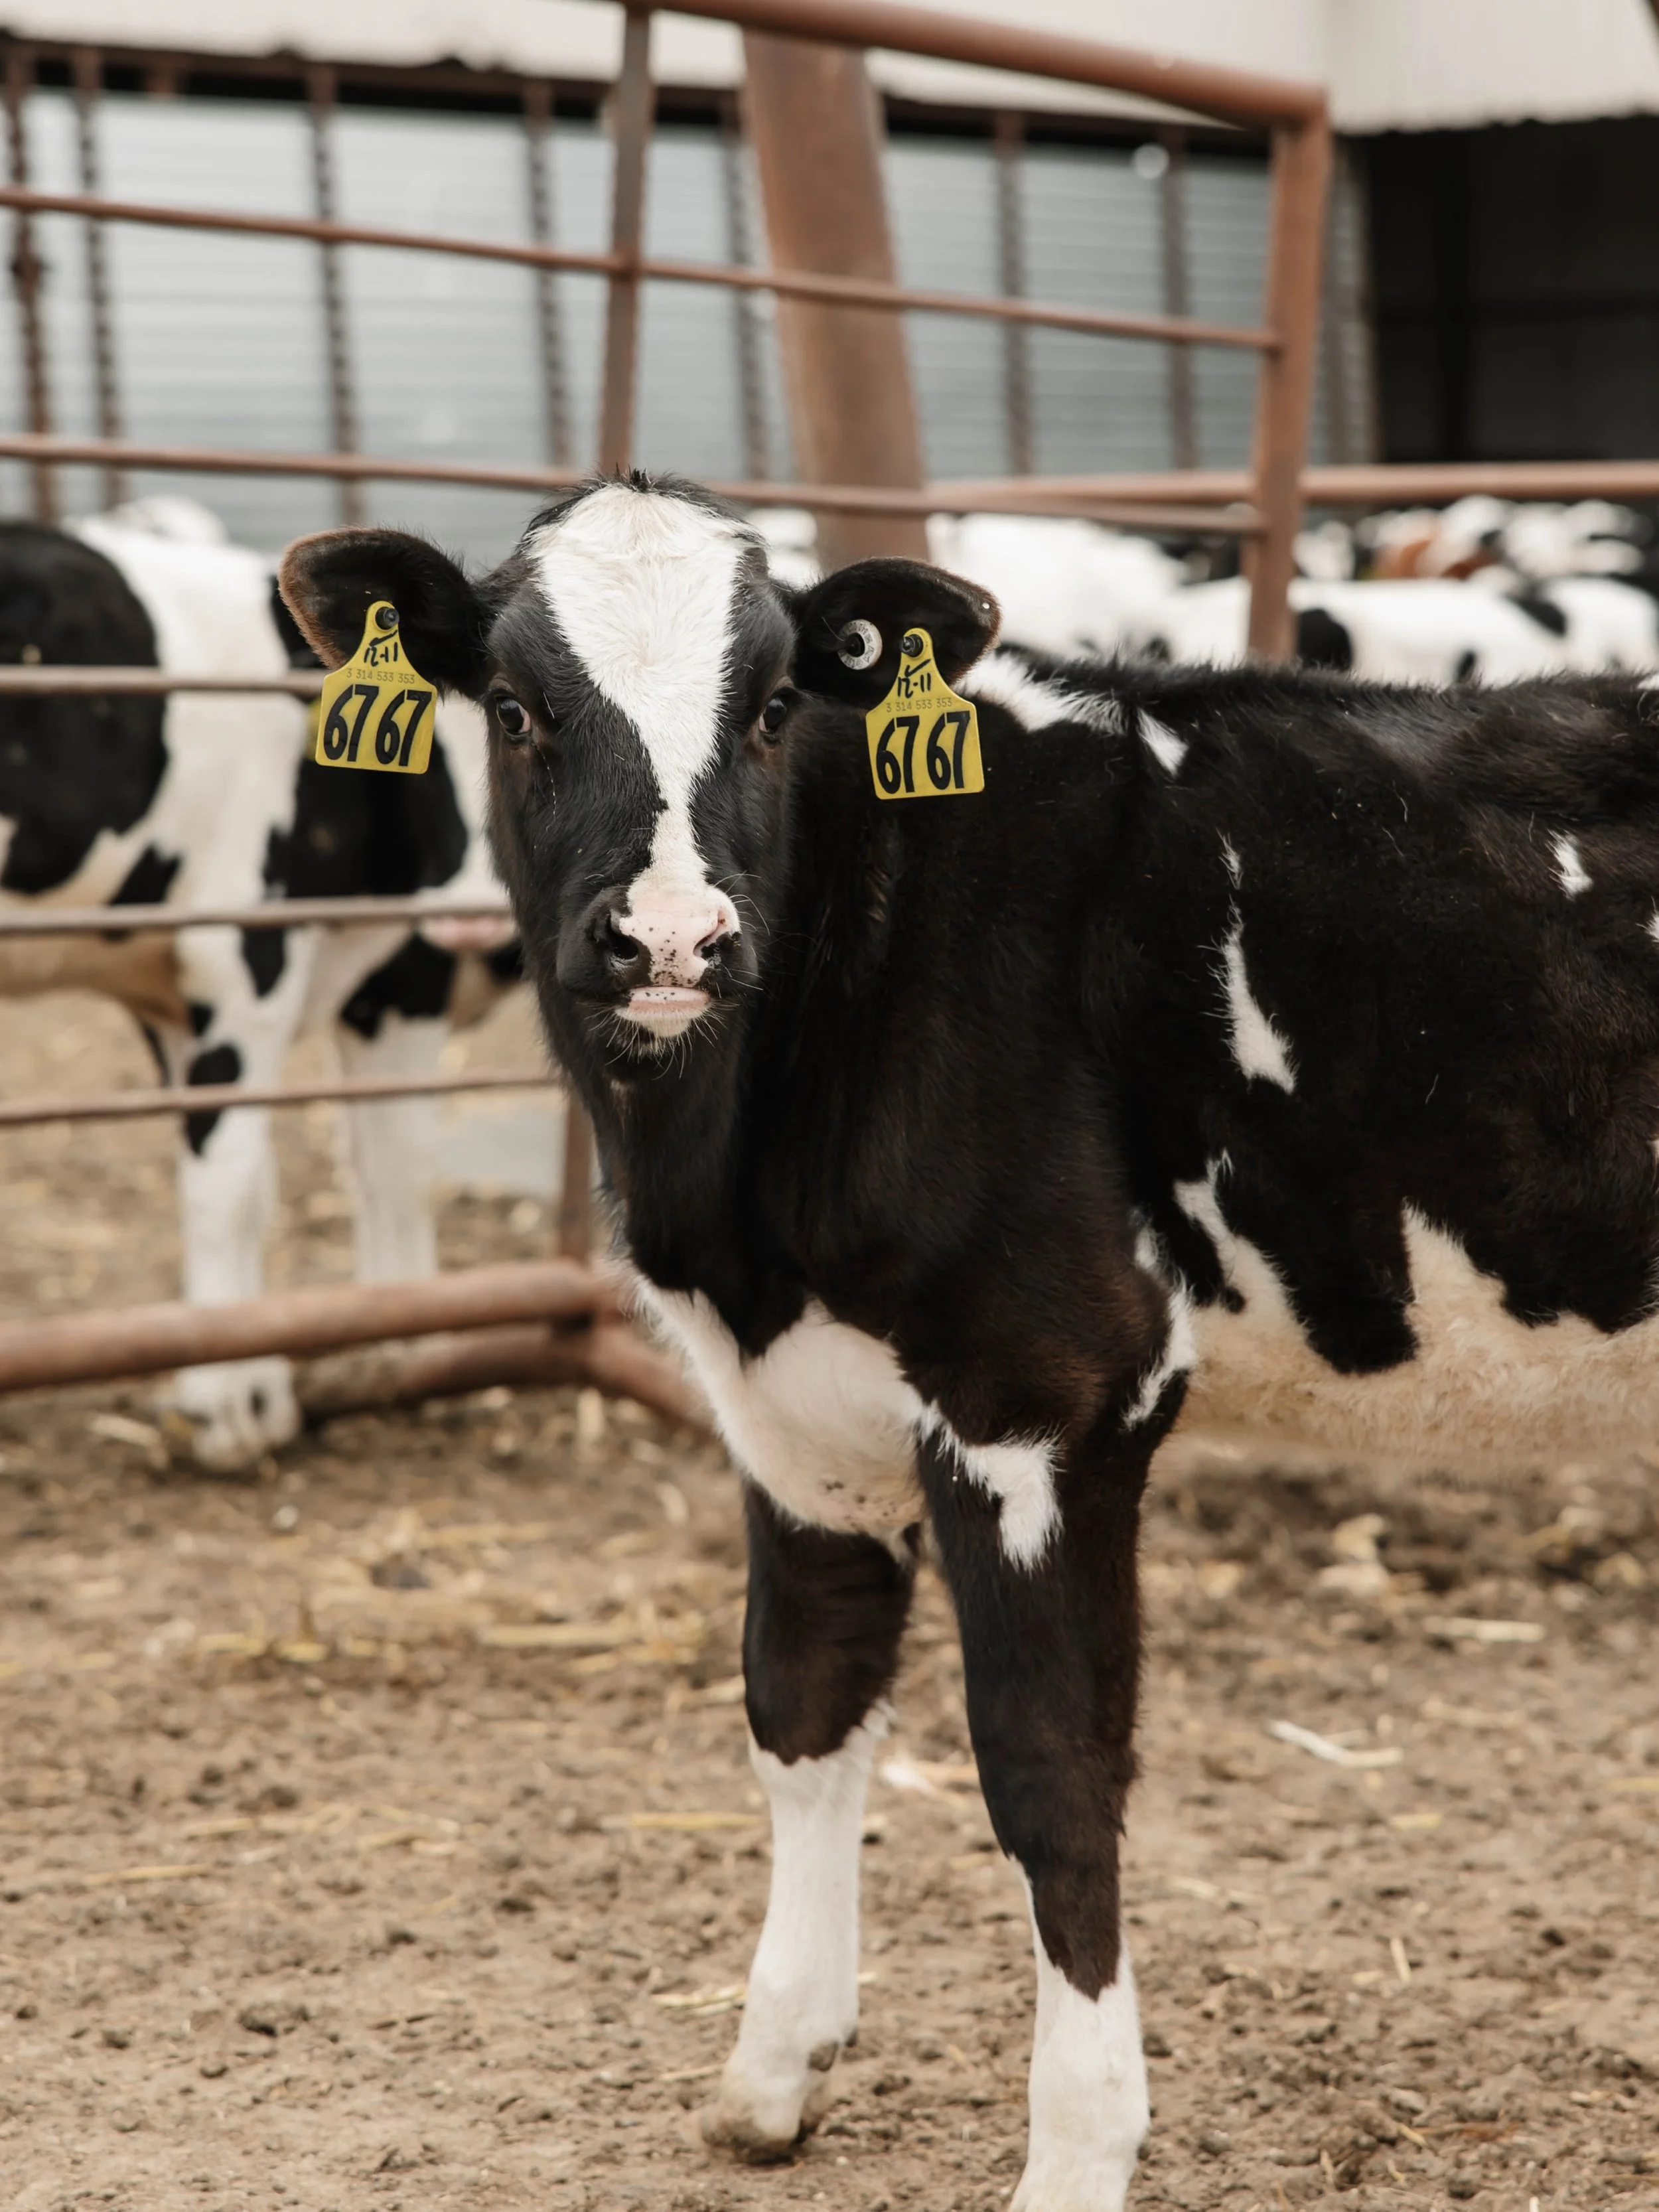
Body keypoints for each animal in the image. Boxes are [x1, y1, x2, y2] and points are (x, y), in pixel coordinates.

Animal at [282, 470, 1659, 2209]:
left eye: (775, 704)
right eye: (516, 709)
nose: (668, 939)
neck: (730, 1188)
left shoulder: (1042, 1386)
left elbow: (1050, 1770)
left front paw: (1077, 2150)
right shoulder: (787, 1406)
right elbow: (799, 1699)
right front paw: (771, 2071)